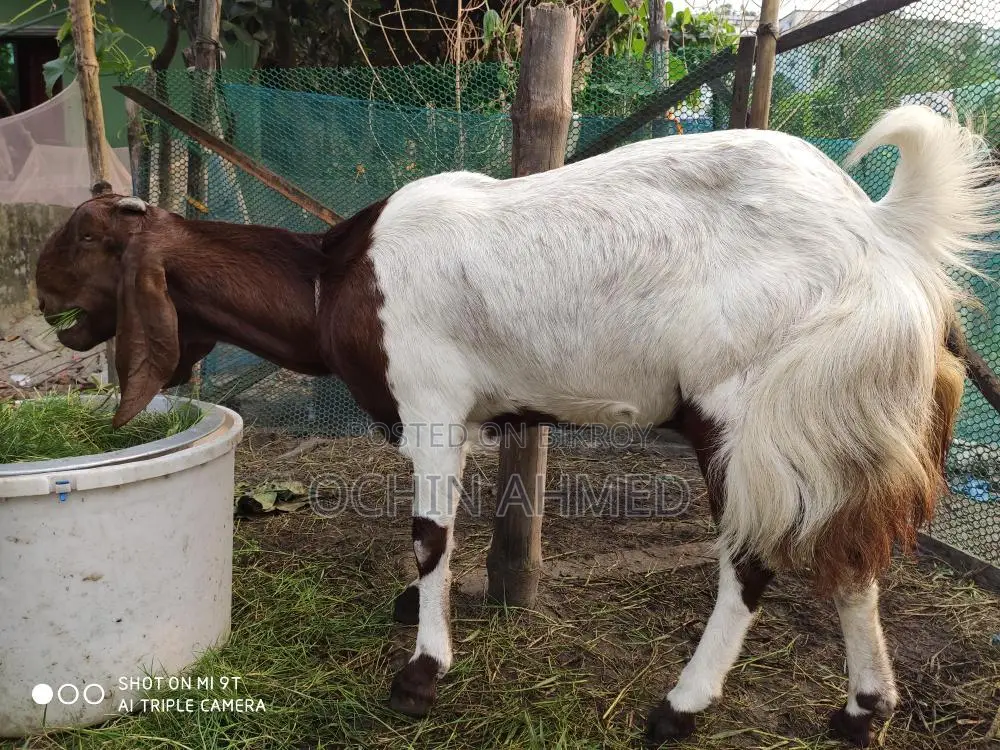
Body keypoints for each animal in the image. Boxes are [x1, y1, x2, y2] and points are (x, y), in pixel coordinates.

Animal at [35, 105, 1000, 748]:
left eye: (86, 239)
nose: (42, 300)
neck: (327, 280)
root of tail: (882, 236)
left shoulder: (431, 405)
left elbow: (428, 534)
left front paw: (422, 672)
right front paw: (414, 616)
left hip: (750, 415)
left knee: (755, 559)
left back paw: (680, 708)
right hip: (842, 422)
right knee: (854, 557)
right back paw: (862, 711)